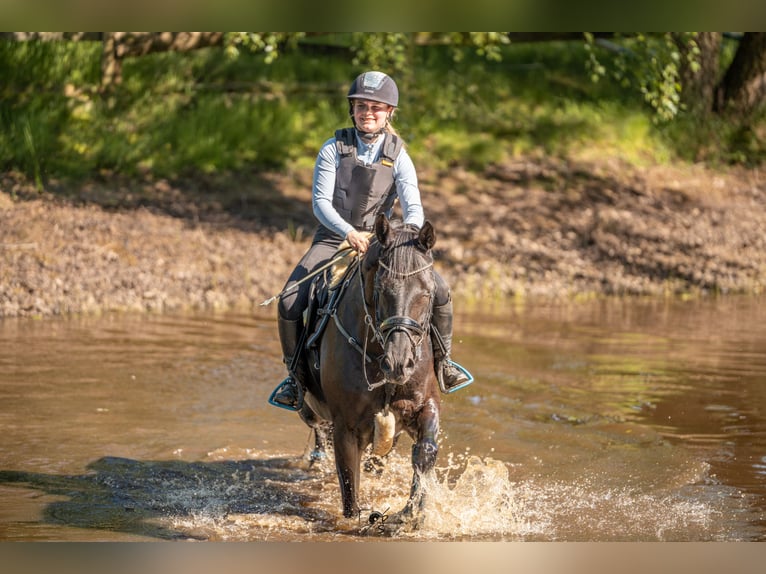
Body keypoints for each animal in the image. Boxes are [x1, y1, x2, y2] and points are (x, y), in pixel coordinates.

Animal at [300, 214, 444, 528]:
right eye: (381, 290)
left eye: (427, 293)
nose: (399, 363)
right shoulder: (346, 428)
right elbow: (349, 490)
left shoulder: (423, 405)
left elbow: (425, 453)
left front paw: (411, 515)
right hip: (311, 410)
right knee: (320, 437)